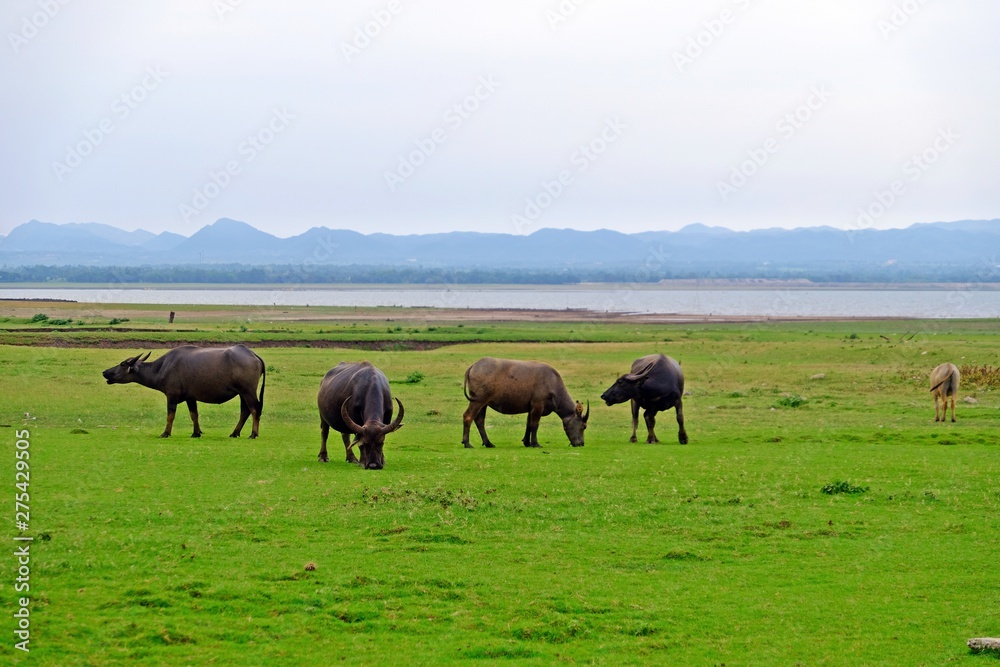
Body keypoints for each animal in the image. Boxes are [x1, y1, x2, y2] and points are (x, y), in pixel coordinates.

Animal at [102, 348, 266, 440]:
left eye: (122, 364)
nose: (105, 372)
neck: (162, 367)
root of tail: (253, 354)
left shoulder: (171, 396)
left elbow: (170, 416)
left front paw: (165, 433)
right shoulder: (190, 398)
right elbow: (194, 415)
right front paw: (196, 433)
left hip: (247, 391)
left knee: (254, 409)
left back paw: (253, 434)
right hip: (241, 393)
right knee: (245, 411)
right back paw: (234, 433)